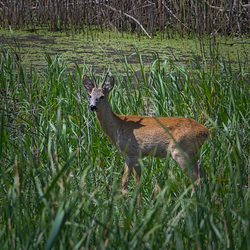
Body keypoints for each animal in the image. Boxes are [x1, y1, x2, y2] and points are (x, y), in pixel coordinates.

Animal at [83, 67, 209, 205]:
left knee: (195, 179)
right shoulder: (127, 155)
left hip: (181, 151)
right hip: (194, 152)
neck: (118, 126)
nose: (92, 107)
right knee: (203, 175)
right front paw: (121, 205)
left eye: (102, 96)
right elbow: (124, 182)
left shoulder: (135, 153)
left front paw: (138, 206)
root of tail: (206, 131)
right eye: (90, 95)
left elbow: (137, 182)